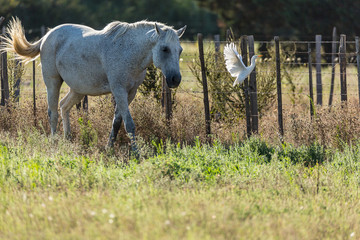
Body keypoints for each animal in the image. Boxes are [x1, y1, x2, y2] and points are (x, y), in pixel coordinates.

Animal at [2, 18, 187, 154]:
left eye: (180, 50)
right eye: (164, 49)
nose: (175, 79)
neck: (128, 50)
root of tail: (47, 36)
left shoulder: (130, 93)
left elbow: (117, 122)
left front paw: (109, 148)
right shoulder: (119, 91)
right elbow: (129, 124)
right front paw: (136, 153)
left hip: (77, 89)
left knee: (64, 106)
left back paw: (67, 138)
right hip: (52, 82)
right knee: (53, 112)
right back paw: (54, 142)